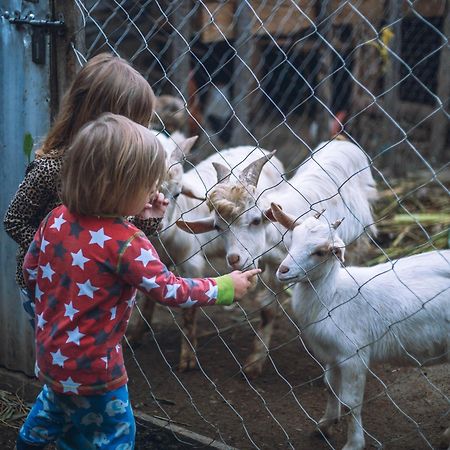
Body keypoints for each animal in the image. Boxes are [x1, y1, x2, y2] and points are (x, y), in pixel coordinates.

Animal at [178, 139, 378, 378]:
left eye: (256, 220)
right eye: (218, 227)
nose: (234, 259)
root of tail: (342, 142)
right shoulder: (276, 266)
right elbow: (267, 309)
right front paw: (255, 361)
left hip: (359, 237)